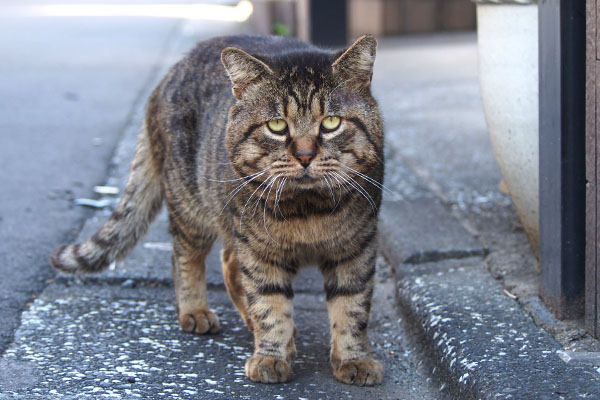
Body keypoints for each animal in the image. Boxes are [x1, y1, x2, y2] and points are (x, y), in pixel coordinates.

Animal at [50, 33, 384, 384]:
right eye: (277, 125)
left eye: (331, 122)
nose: (305, 156)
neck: (307, 210)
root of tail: (173, 70)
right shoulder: (259, 252)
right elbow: (269, 304)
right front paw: (270, 356)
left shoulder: (356, 250)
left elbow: (352, 310)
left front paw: (354, 360)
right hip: (192, 209)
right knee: (185, 259)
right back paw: (196, 311)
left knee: (228, 263)